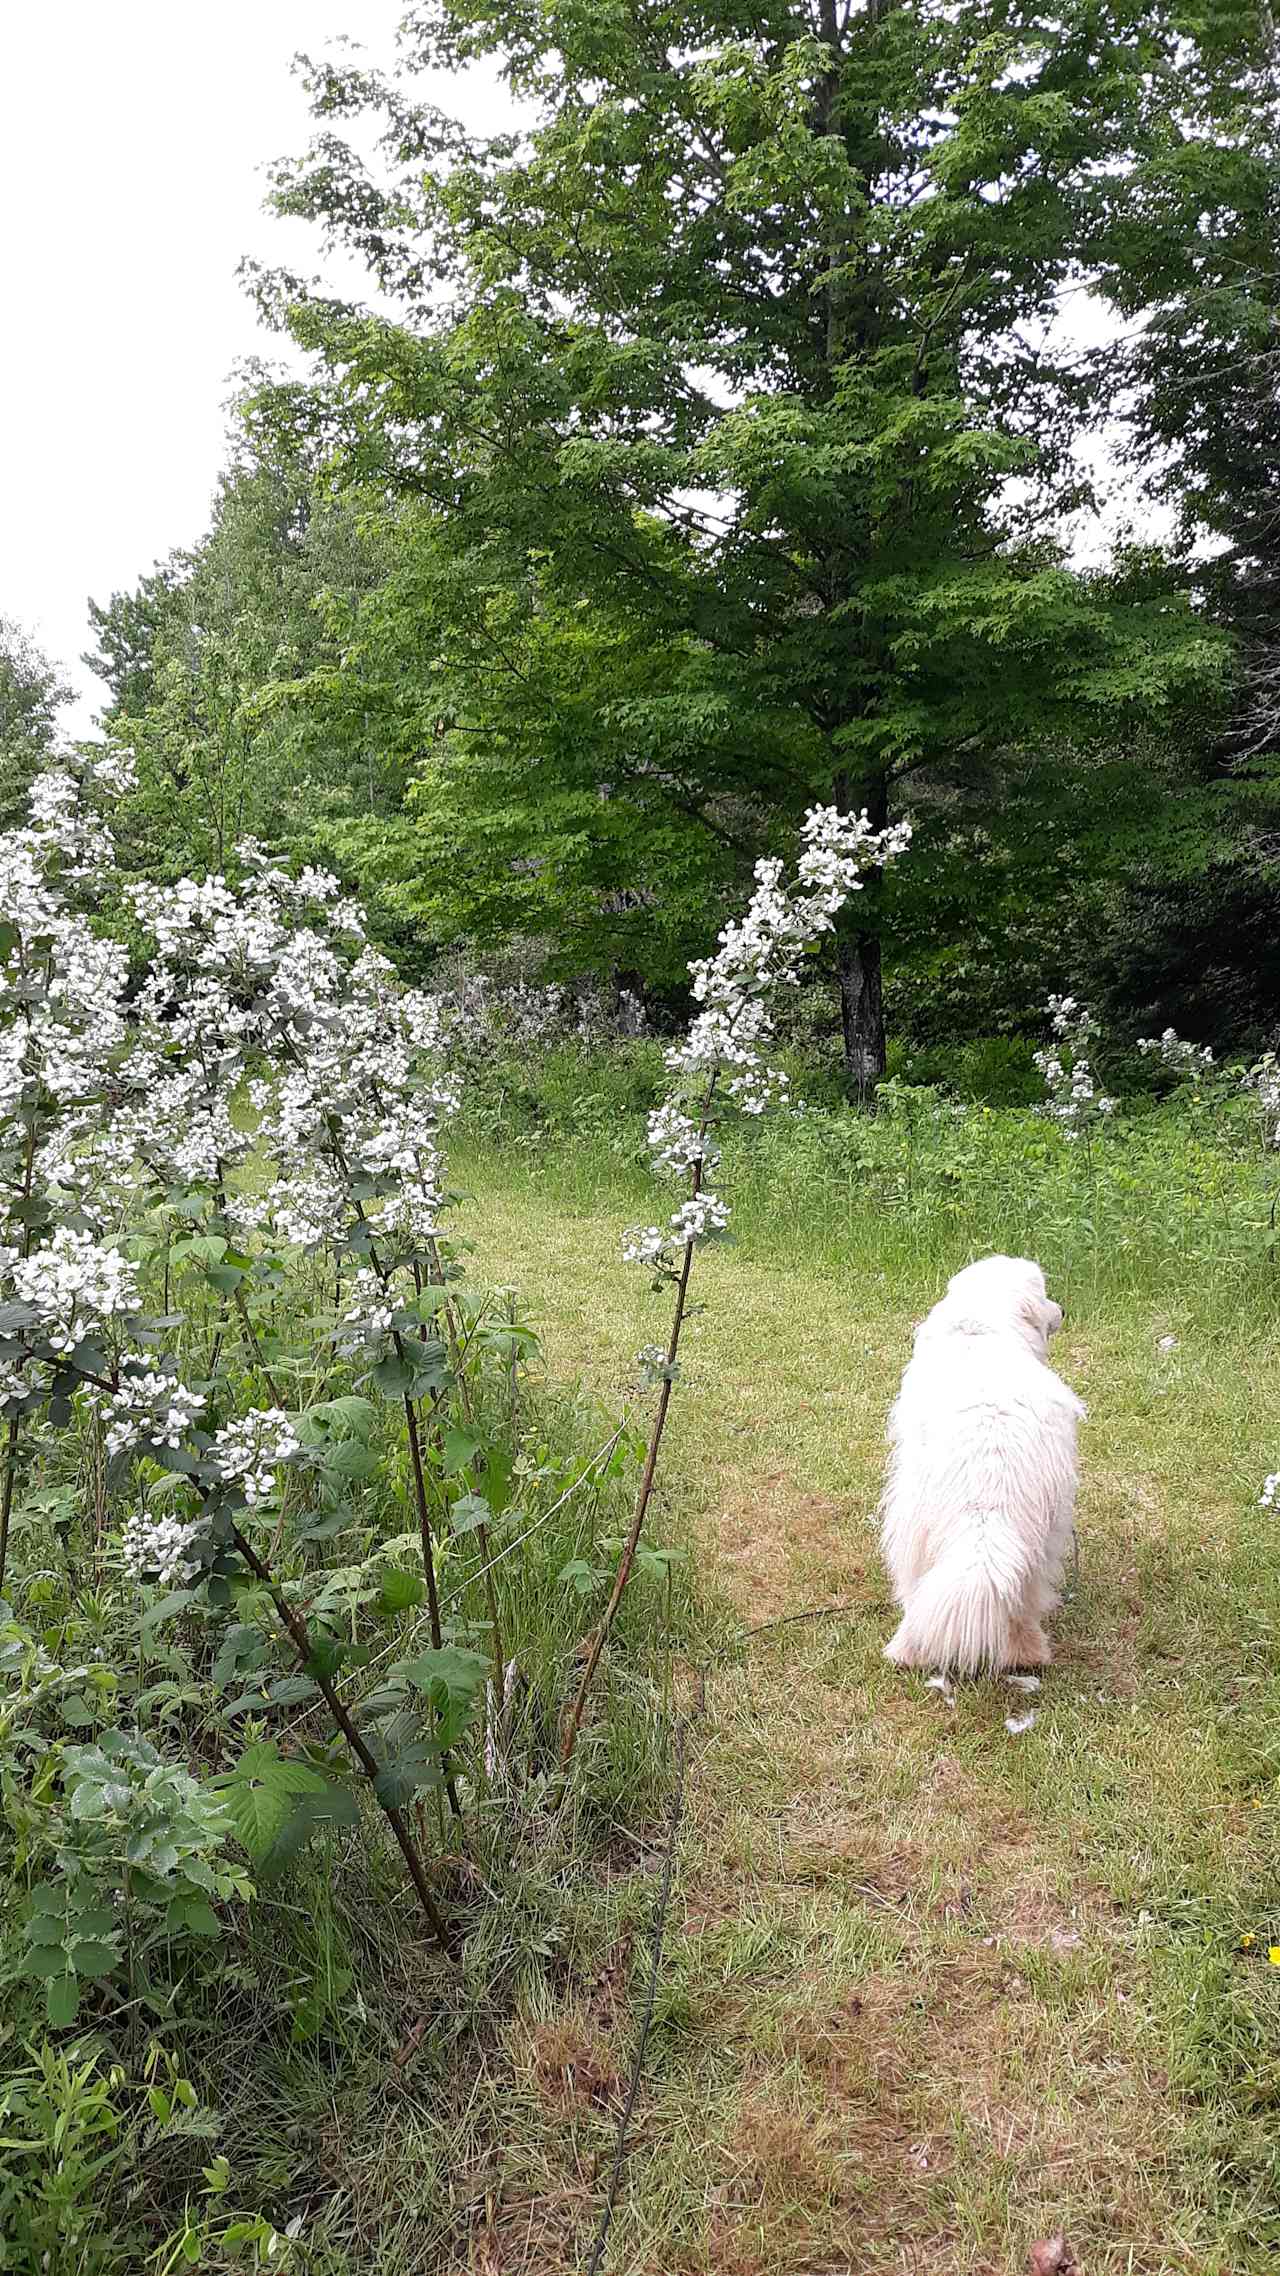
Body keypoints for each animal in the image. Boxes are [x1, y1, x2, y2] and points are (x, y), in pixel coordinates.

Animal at [874, 1247, 1075, 1675]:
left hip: (911, 1524)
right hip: (1040, 1536)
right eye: (1044, 1293)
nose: (1063, 1310)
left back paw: (906, 1651)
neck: (981, 1330)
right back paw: (1028, 1655)